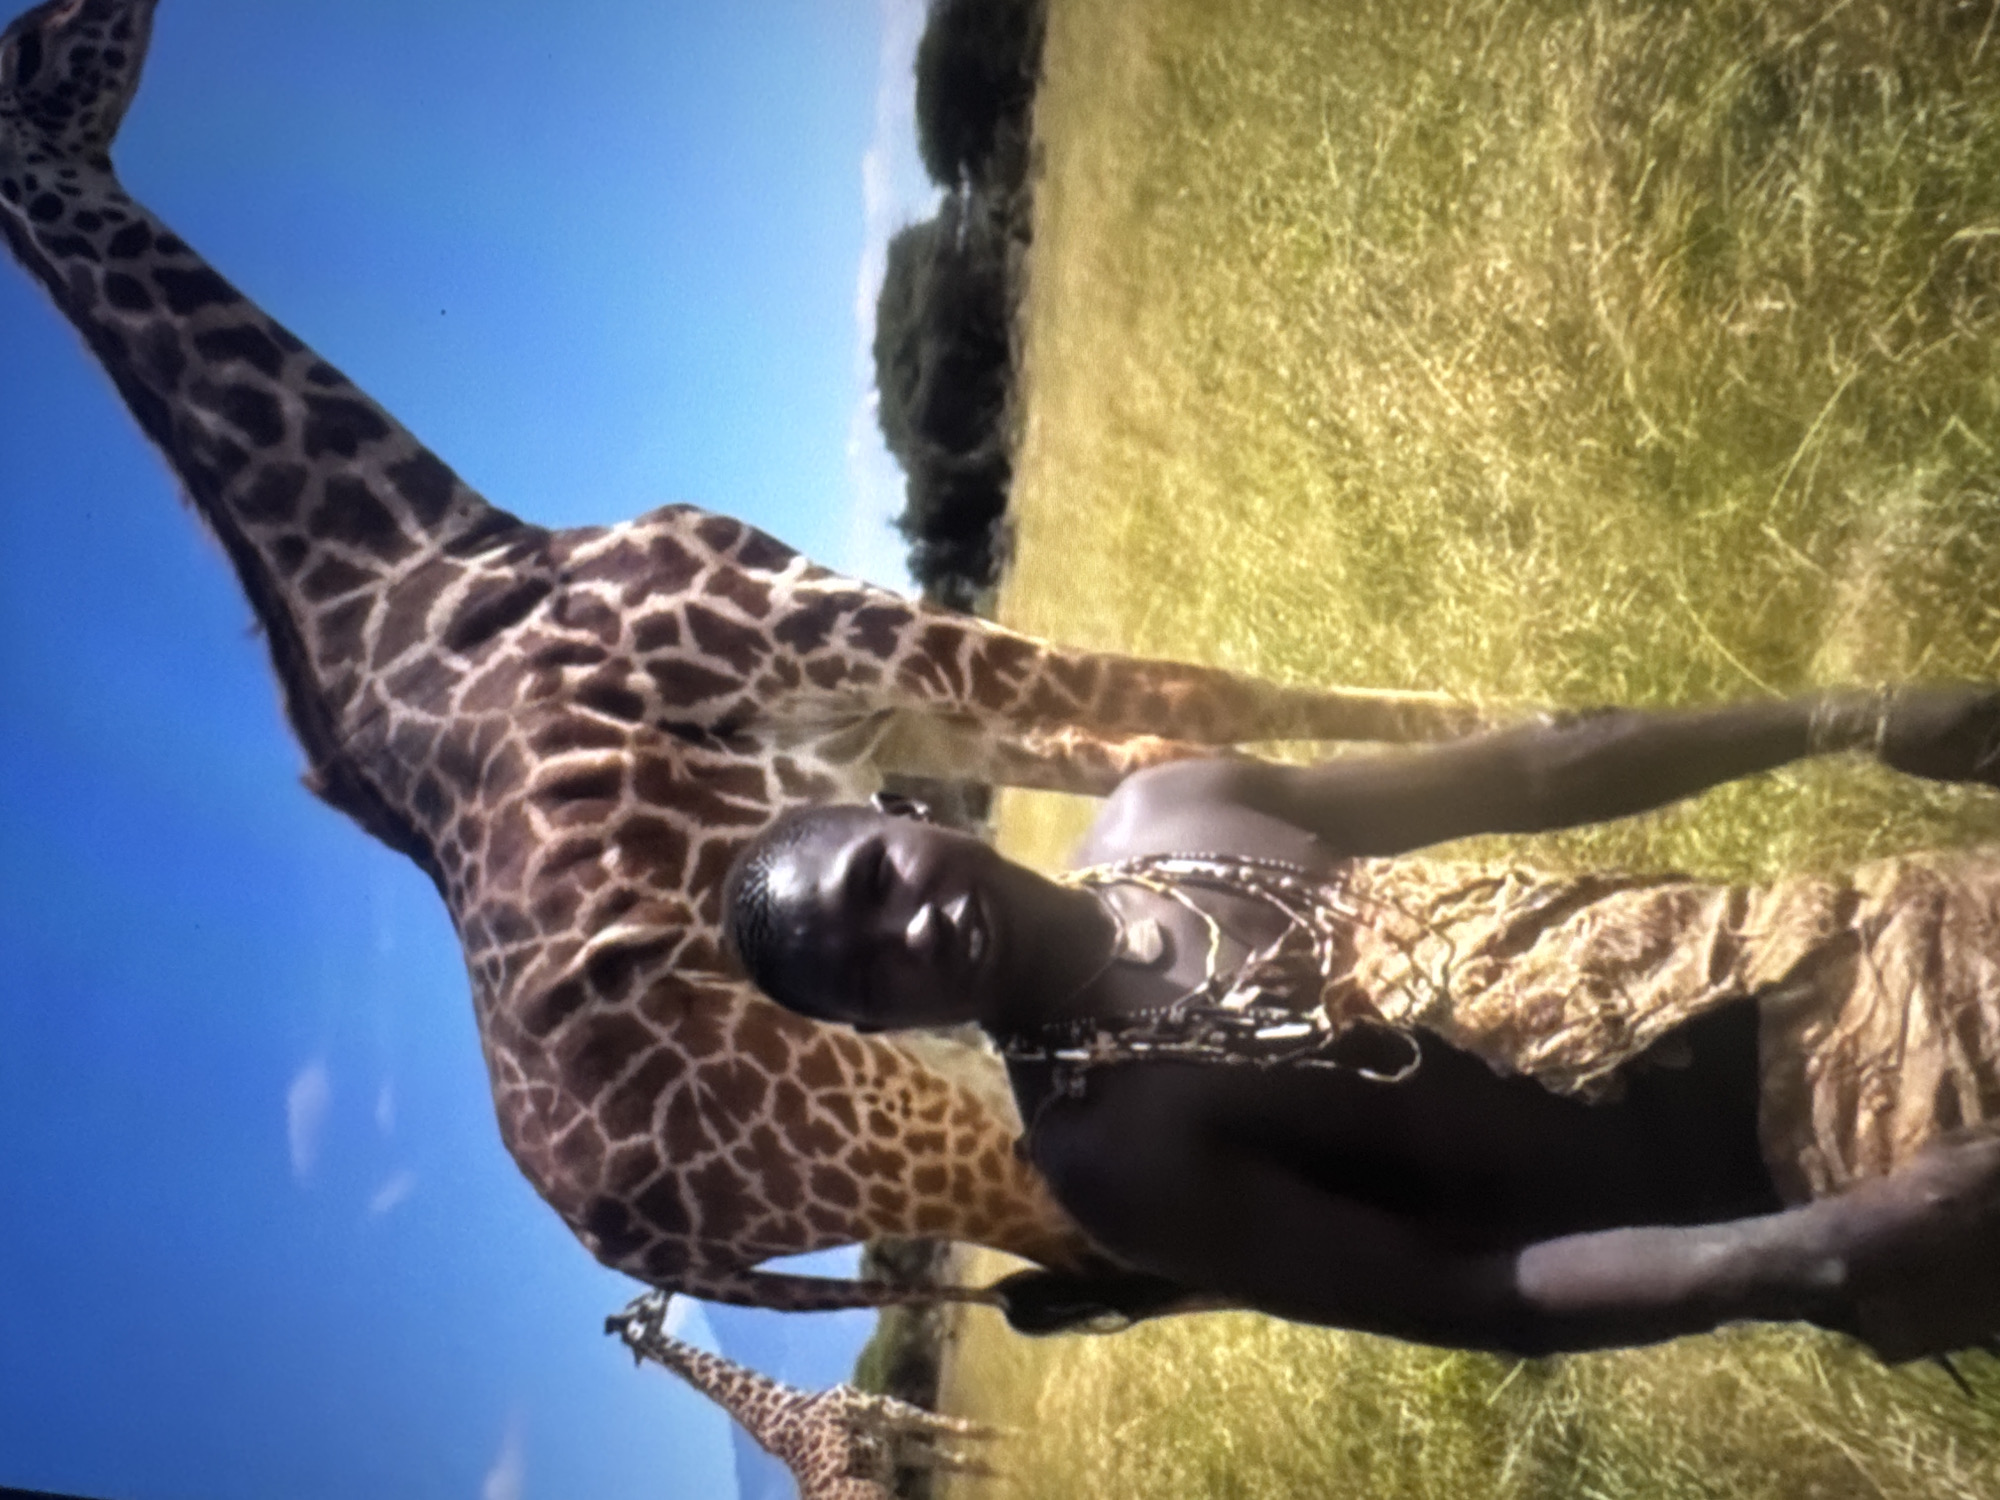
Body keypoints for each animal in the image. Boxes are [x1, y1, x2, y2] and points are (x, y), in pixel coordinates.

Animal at [0, 0, 1480, 1315]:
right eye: (40, 38)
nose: (128, 5)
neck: (436, 561)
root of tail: (640, 1252)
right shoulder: (826, 624)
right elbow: (1188, 691)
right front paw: (1500, 721)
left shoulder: (880, 717)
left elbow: (1144, 741)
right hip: (898, 1124)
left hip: (934, 1081)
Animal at [610, 1291, 1004, 1500]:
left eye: (640, 1304)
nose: (666, 1292)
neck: (789, 1404)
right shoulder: (884, 1413)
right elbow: (964, 1429)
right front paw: (1012, 1439)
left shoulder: (891, 1439)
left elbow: (964, 1453)